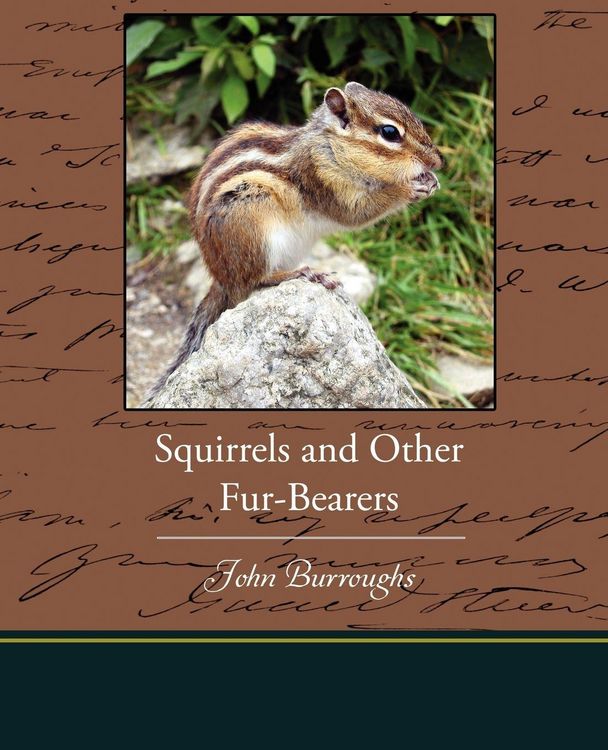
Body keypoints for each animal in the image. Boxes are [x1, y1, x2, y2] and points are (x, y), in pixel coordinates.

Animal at [144, 81, 443, 403]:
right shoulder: (321, 179)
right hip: (252, 222)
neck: (330, 148)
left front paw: (431, 180)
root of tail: (221, 278)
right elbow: (357, 212)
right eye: (390, 133)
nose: (439, 160)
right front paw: (409, 188)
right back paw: (304, 274)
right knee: (254, 281)